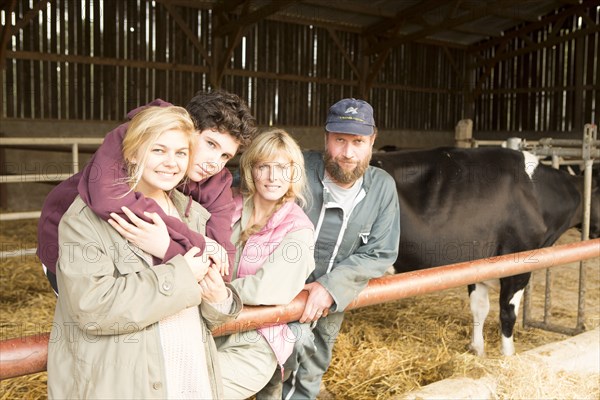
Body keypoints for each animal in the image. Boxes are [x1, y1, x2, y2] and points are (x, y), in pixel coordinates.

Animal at [372, 147, 596, 356]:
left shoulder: (478, 263)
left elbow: (479, 308)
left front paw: (477, 350)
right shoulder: (518, 264)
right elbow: (507, 313)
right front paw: (508, 356)